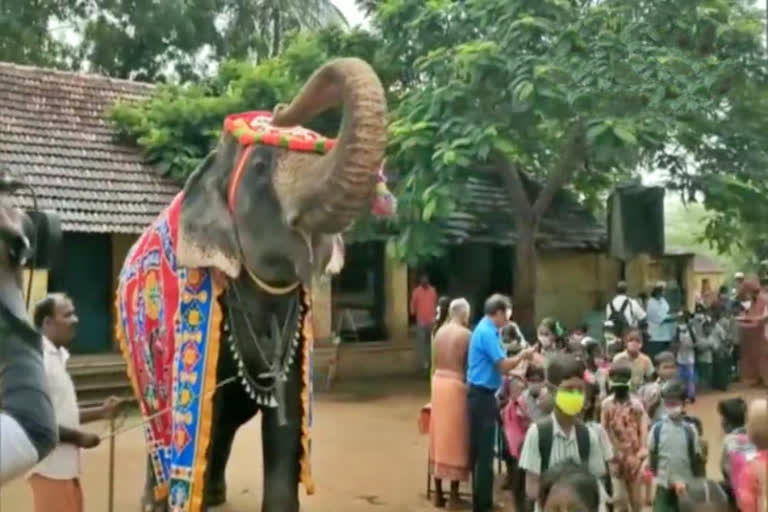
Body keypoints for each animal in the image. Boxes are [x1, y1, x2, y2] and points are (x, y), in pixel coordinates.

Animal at [115, 57, 390, 512]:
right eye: (260, 167)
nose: (278, 107)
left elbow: (286, 415)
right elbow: (196, 408)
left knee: (227, 416)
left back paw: (213, 494)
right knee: (162, 418)